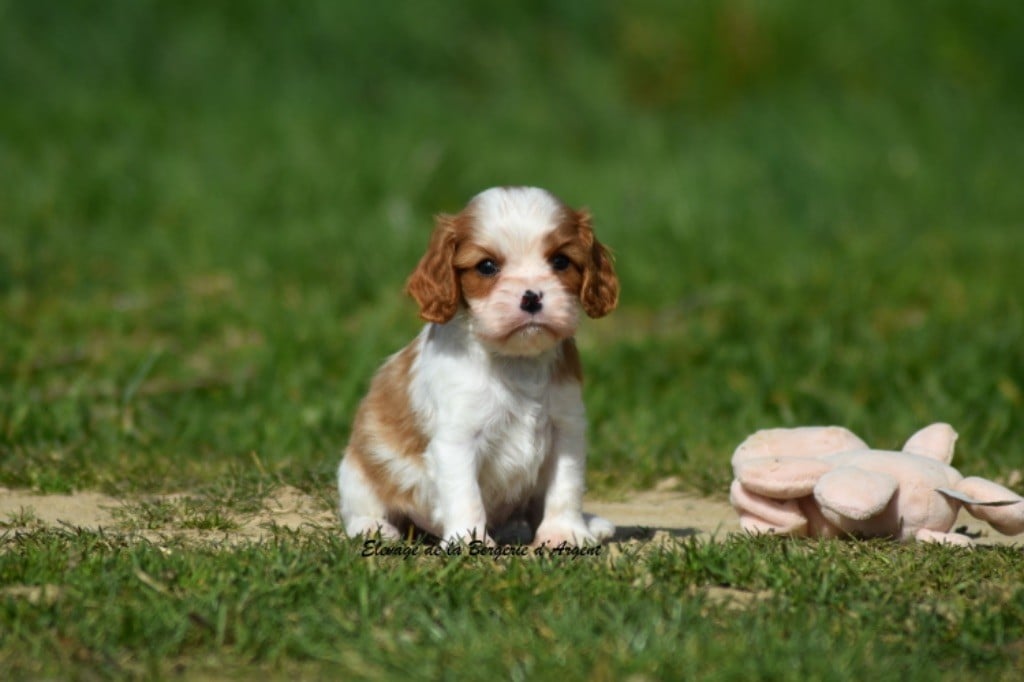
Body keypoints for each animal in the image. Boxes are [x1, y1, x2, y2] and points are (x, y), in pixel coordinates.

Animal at [339, 183, 618, 544]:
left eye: (560, 261)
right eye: (486, 267)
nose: (531, 297)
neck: (515, 360)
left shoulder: (566, 427)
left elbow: (565, 486)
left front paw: (564, 533)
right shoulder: (457, 439)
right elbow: (465, 494)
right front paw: (469, 541)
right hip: (356, 470)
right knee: (362, 507)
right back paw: (374, 527)